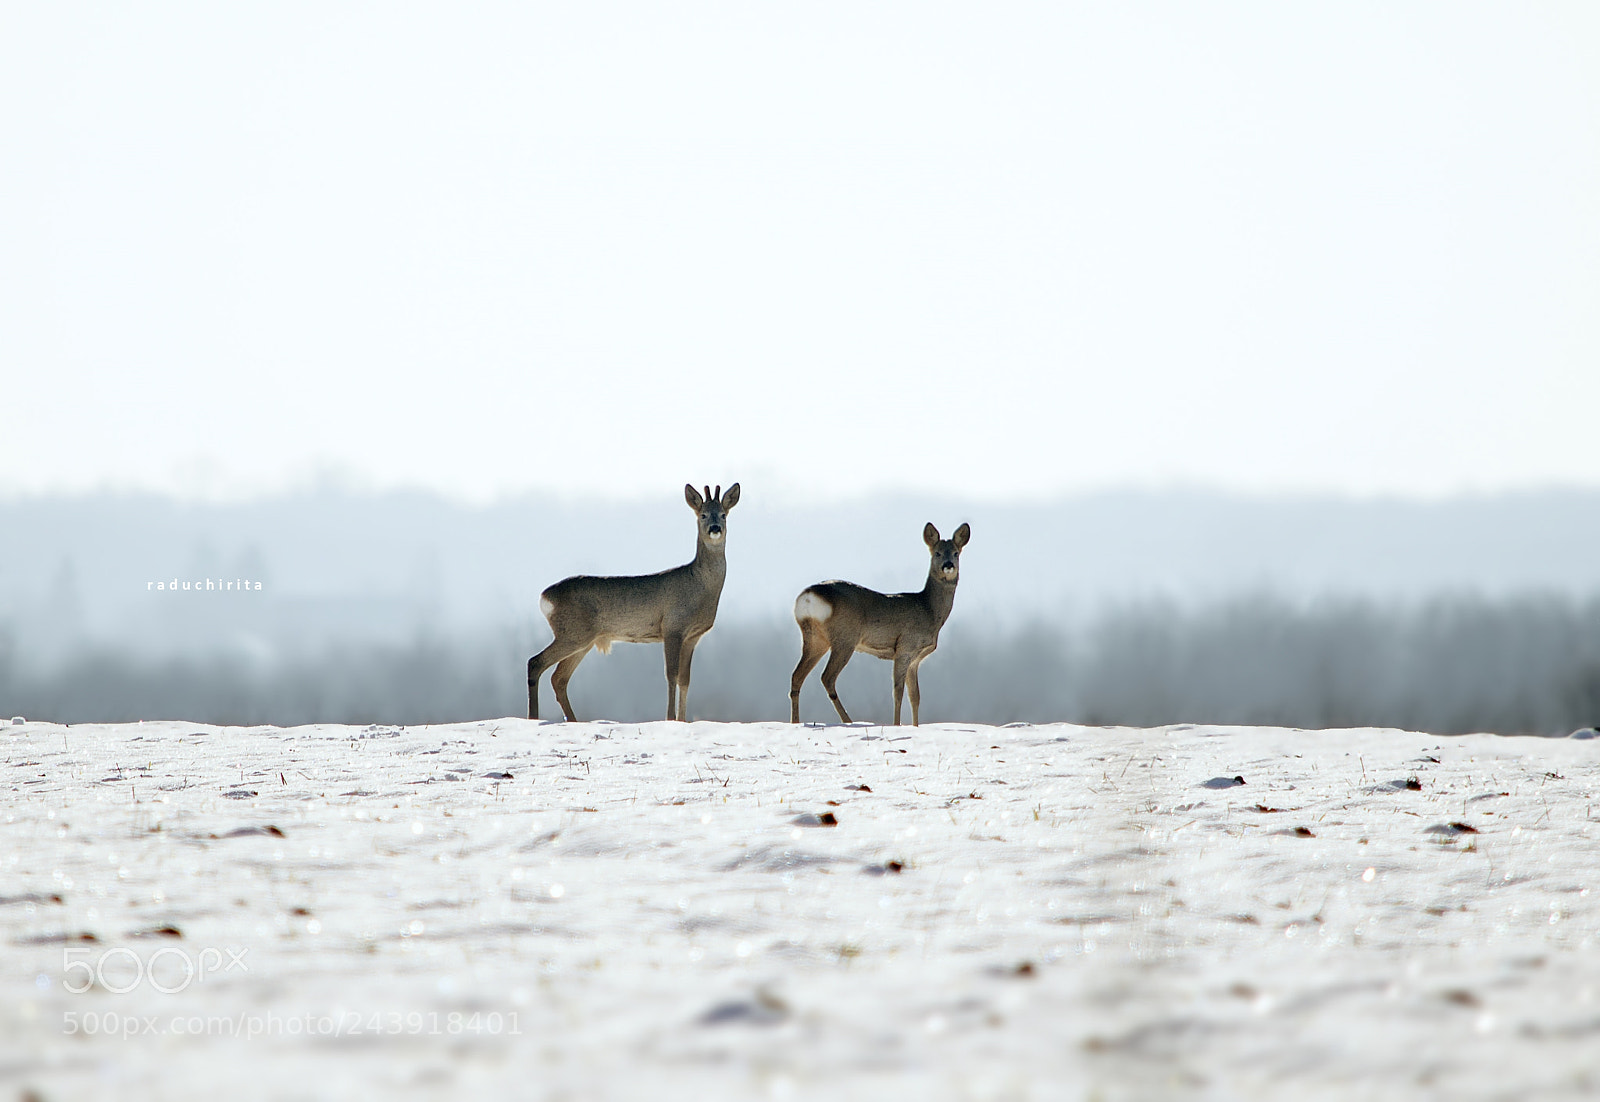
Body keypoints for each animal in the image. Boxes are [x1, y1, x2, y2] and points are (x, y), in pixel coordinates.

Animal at [528, 483, 740, 722]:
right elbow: (671, 674)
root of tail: (545, 597)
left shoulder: (692, 636)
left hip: (583, 638)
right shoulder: (672, 627)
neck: (699, 588)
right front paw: (669, 718)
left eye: (723, 514)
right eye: (702, 514)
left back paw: (572, 721)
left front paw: (683, 720)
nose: (715, 528)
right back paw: (533, 717)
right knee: (535, 662)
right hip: (572, 633)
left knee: (558, 678)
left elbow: (685, 679)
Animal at [789, 521, 970, 726]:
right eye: (937, 553)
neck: (929, 611)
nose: (948, 566)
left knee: (797, 676)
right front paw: (897, 725)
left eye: (955, 553)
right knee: (827, 677)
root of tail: (808, 597)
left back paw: (795, 722)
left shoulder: (915, 659)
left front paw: (915, 726)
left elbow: (915, 697)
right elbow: (898, 692)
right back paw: (849, 721)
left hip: (814, 638)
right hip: (844, 638)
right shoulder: (905, 647)